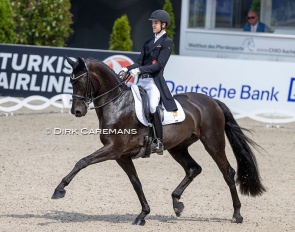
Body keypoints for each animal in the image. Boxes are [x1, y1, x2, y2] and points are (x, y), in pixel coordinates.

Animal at [52, 56, 268, 225]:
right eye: (71, 81)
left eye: (81, 81)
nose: (77, 111)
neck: (117, 103)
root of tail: (212, 101)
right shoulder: (122, 156)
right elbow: (136, 182)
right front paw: (143, 215)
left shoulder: (114, 149)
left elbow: (82, 161)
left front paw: (59, 189)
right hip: (178, 147)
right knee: (193, 168)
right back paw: (177, 203)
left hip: (213, 143)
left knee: (228, 173)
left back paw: (237, 214)